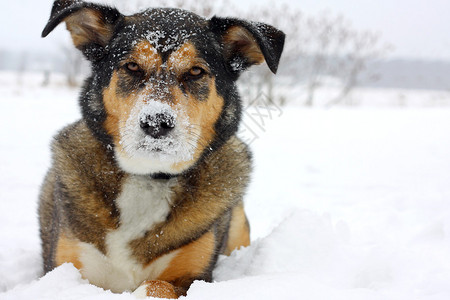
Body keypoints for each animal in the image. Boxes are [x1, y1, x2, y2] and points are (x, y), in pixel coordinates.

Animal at [39, 0, 284, 298]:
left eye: (195, 71)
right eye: (132, 66)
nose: (156, 122)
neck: (148, 177)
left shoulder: (195, 278)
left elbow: (156, 285)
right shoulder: (63, 269)